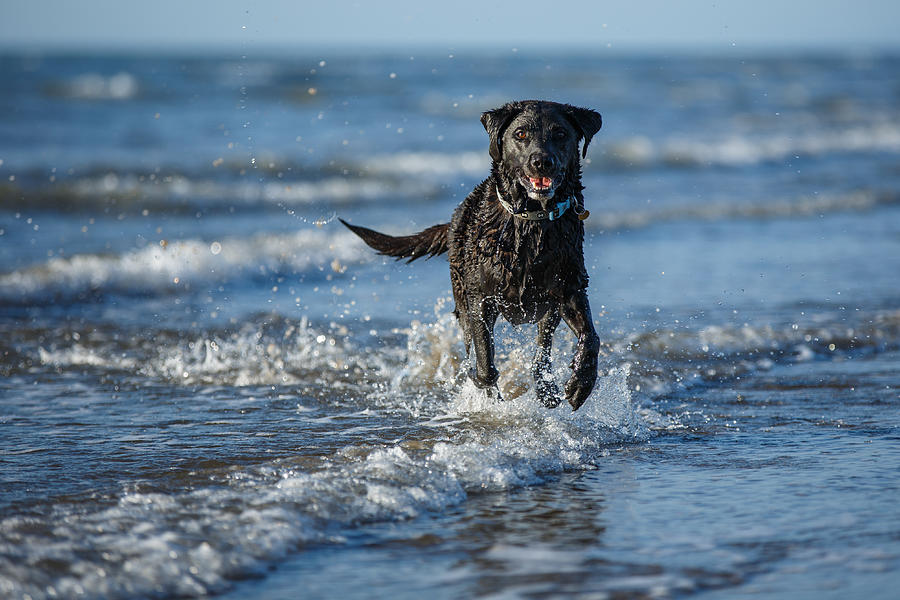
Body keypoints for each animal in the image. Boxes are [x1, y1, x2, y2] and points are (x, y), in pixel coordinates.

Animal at [342, 101, 600, 410]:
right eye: (521, 134)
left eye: (560, 133)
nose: (541, 161)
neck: (531, 221)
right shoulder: (479, 300)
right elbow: (485, 363)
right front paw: (489, 397)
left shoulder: (569, 287)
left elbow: (590, 337)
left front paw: (581, 383)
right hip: (461, 295)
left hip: (546, 309)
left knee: (542, 347)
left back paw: (546, 388)